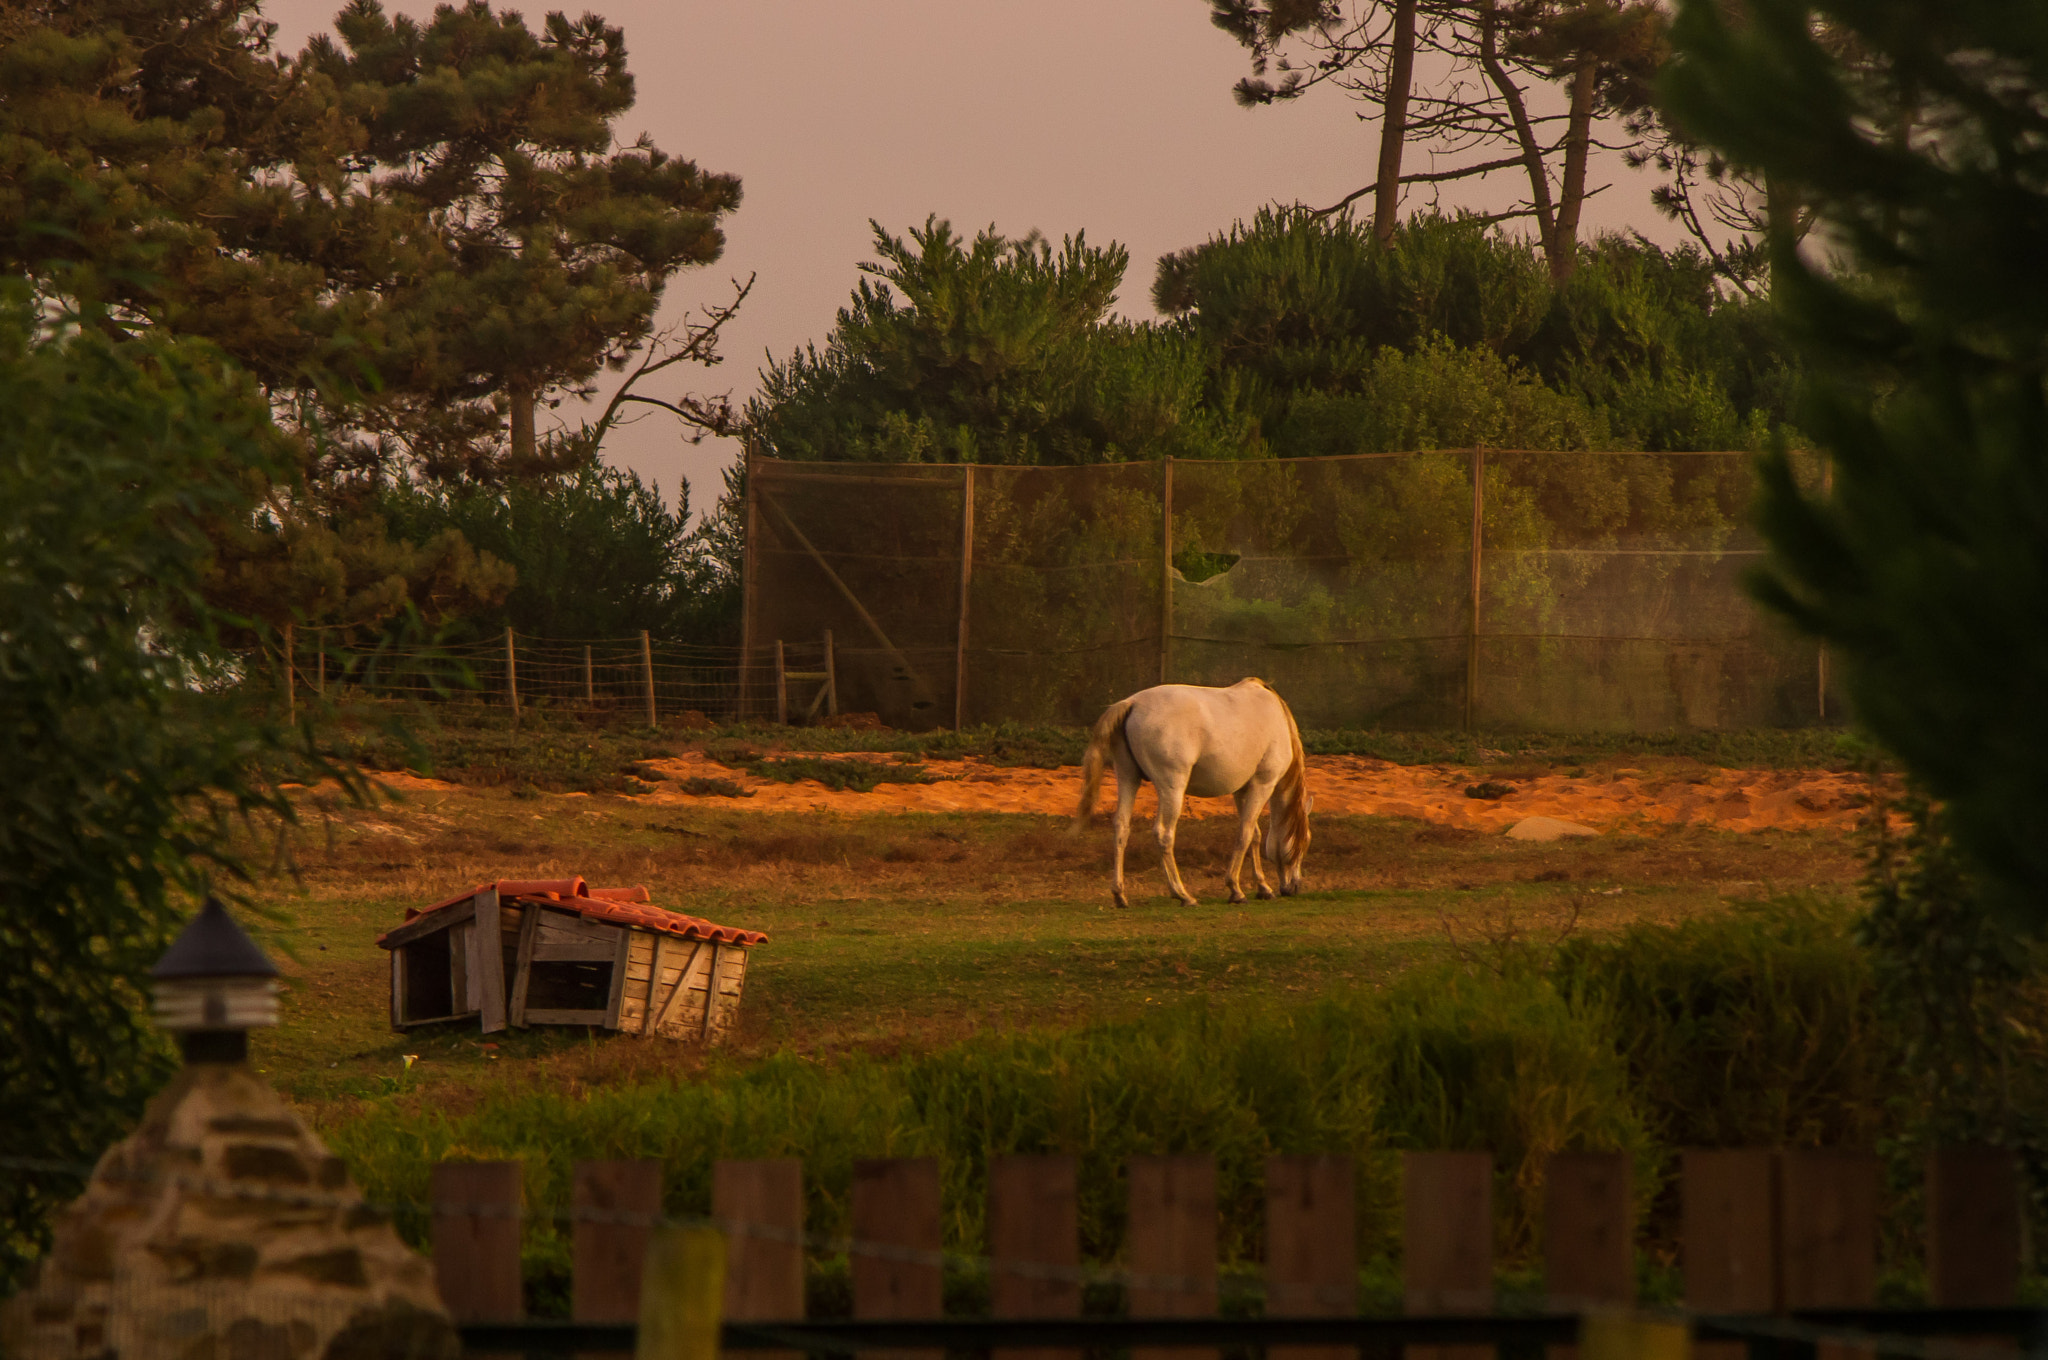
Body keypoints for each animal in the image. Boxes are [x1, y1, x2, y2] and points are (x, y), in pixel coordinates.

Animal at [1073, 678, 1313, 909]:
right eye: (1306, 841)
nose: (1294, 887)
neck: (1277, 717)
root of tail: (1132, 703)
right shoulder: (1263, 785)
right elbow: (1244, 835)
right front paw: (1236, 890)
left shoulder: (1242, 791)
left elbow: (1254, 835)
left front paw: (1263, 888)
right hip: (1172, 787)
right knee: (1164, 834)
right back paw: (1183, 895)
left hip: (1128, 778)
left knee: (1121, 827)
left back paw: (1120, 895)